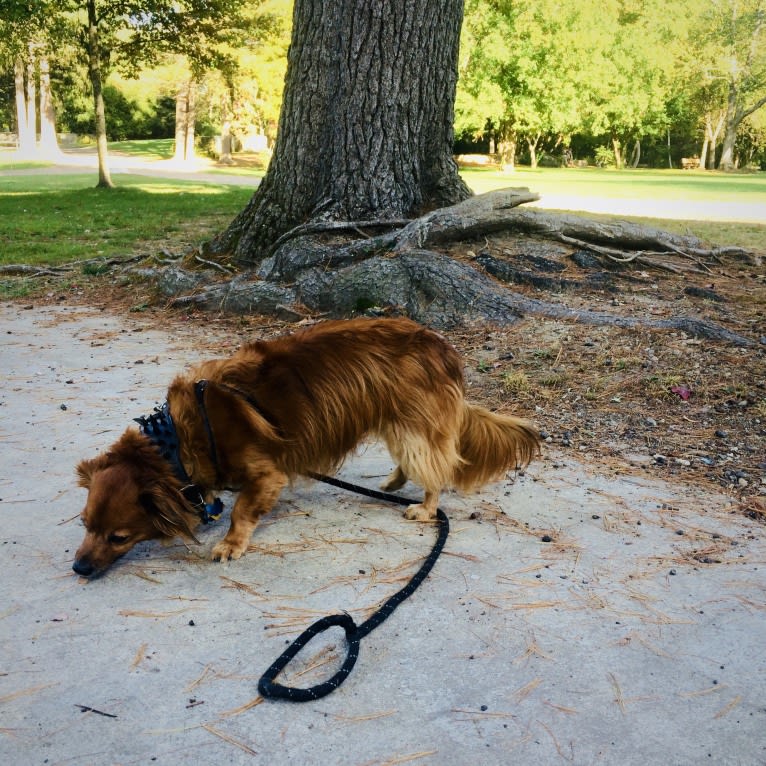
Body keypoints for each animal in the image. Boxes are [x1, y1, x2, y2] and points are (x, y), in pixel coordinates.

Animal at [73, 316, 540, 576]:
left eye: (118, 536)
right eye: (85, 525)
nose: (78, 568)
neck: (176, 438)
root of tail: (443, 347)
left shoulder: (267, 474)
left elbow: (242, 510)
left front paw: (230, 543)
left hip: (411, 426)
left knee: (435, 470)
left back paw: (424, 508)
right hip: (397, 423)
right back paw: (393, 482)